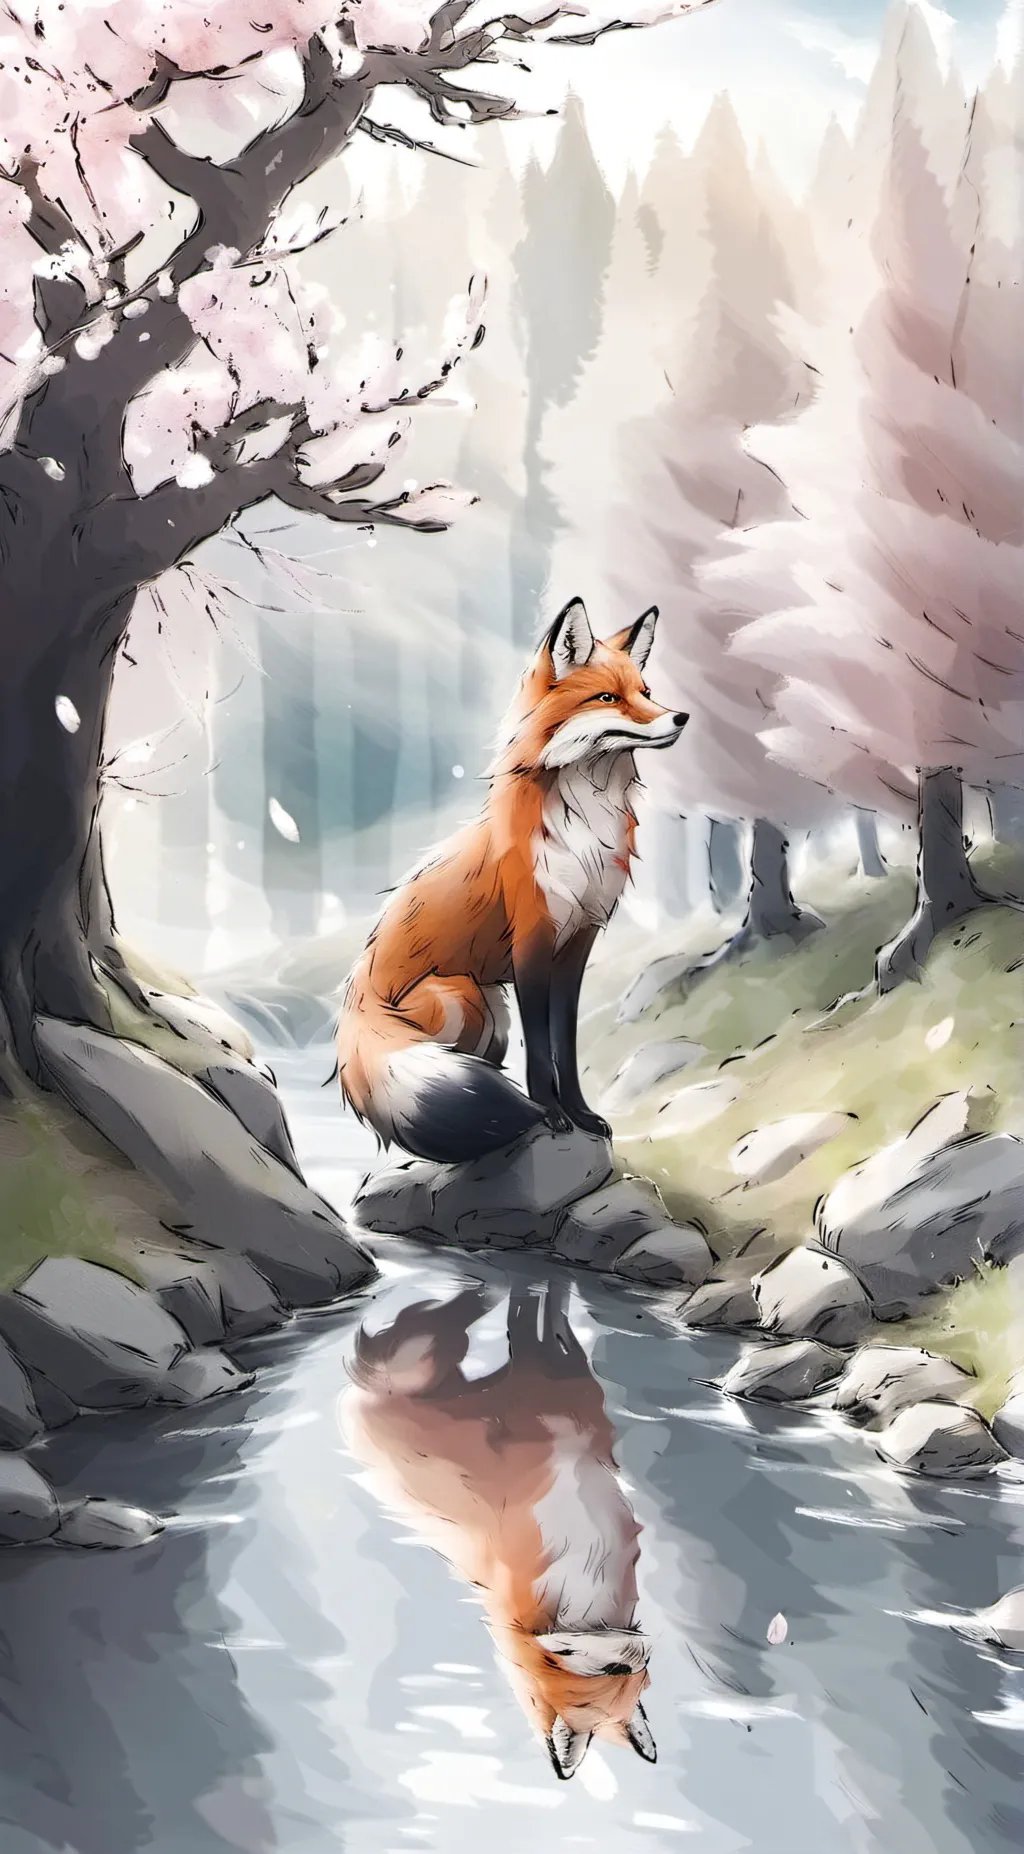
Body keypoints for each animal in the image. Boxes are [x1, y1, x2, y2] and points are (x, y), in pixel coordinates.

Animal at [336, 596, 687, 1162]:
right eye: (608, 697)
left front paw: (582, 1114)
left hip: (489, 1007)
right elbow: (541, 1050)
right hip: (467, 998)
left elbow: (564, 1045)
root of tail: (355, 1002)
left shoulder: (578, 942)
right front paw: (550, 1113)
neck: (585, 833)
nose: (682, 716)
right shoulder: (532, 941)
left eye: (646, 693)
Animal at [340, 1278, 655, 1781]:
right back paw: (479, 1294)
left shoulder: (580, 1410)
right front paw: (535, 1290)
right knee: (436, 1327)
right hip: (437, 1359)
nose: (644, 1649)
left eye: (633, 1679)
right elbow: (533, 1323)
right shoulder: (539, 1396)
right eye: (613, 1671)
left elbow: (549, 1323)